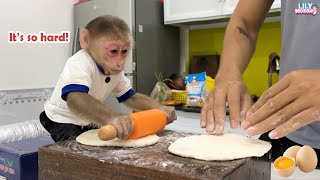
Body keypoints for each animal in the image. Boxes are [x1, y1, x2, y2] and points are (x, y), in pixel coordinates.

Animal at [39, 15, 178, 142]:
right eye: (113, 51)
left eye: (124, 51)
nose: (120, 63)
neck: (101, 68)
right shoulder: (79, 63)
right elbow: (76, 94)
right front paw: (118, 121)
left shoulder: (119, 75)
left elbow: (130, 95)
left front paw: (166, 110)